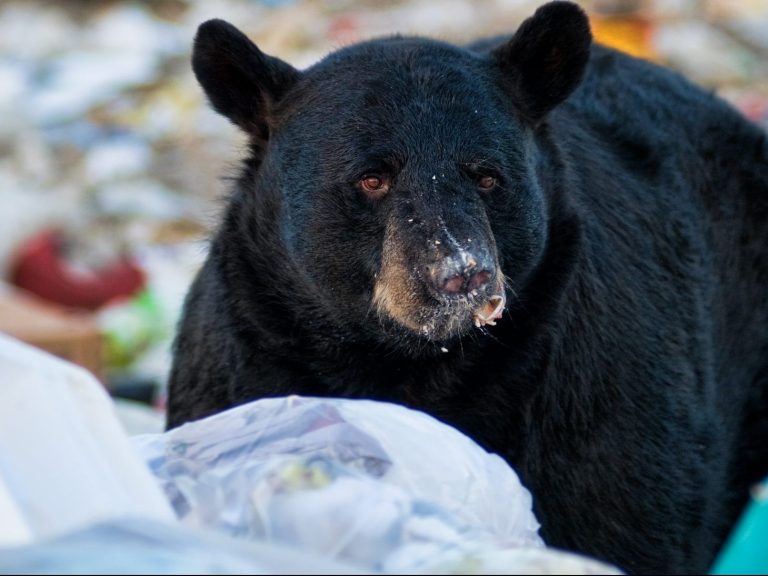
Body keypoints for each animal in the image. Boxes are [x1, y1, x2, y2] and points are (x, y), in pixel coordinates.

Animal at [165, 2, 764, 572]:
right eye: (372, 178)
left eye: (487, 175)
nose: (462, 273)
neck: (417, 367)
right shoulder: (242, 362)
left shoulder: (602, 400)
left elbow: (624, 517)